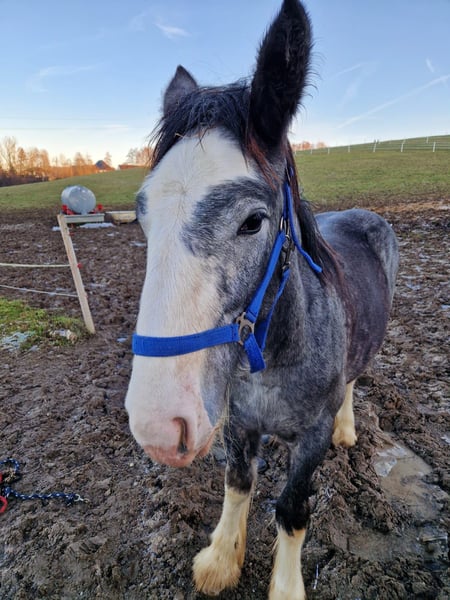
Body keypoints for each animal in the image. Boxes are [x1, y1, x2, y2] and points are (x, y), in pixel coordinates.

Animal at [125, 1, 399, 598]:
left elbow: (292, 510)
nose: (158, 427)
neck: (272, 358)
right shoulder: (239, 422)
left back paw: (349, 428)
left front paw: (285, 584)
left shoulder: (309, 441)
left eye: (253, 221)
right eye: (142, 215)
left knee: (355, 377)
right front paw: (220, 560)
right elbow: (238, 483)